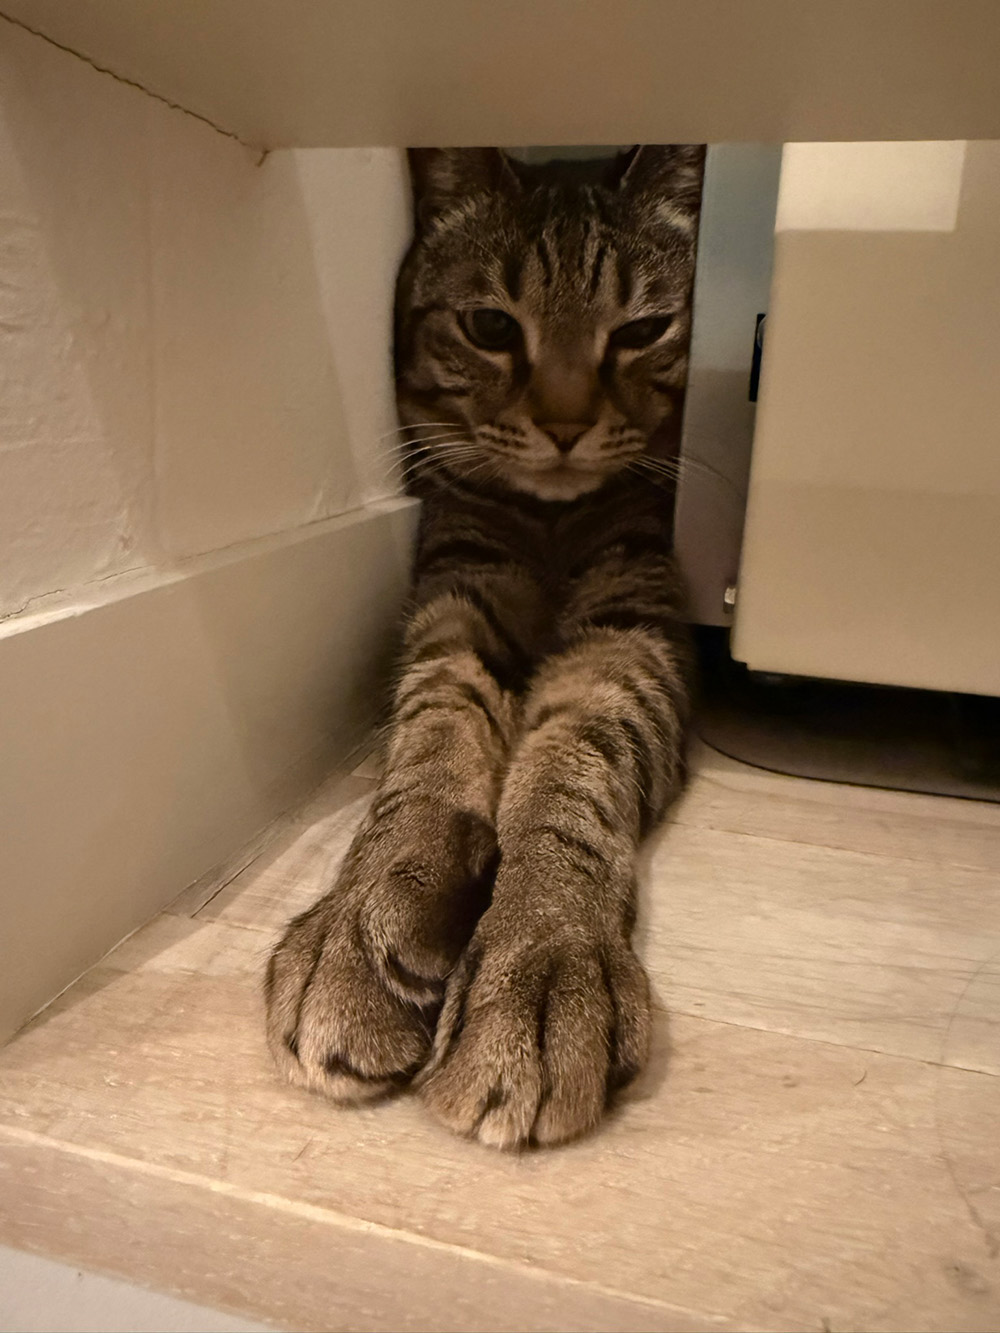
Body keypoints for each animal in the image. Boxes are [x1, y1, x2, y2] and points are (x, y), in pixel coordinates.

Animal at [265, 145, 705, 1149]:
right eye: (490, 325)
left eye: (645, 329)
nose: (567, 424)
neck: (549, 523)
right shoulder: (456, 604)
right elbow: (428, 743)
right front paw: (363, 915)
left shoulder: (632, 629)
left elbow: (573, 767)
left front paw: (539, 952)